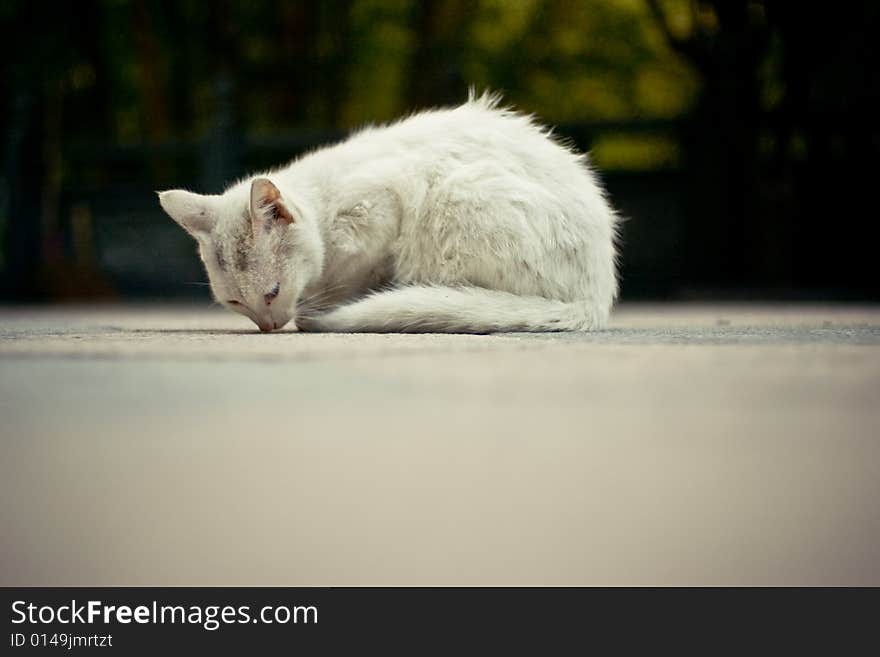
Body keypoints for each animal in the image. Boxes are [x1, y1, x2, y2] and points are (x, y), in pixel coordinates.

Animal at [162, 92, 624, 330]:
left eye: (272, 292)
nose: (268, 326)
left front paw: (327, 304)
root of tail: (595, 298)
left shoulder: (382, 208)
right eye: (235, 302)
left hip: (455, 198)